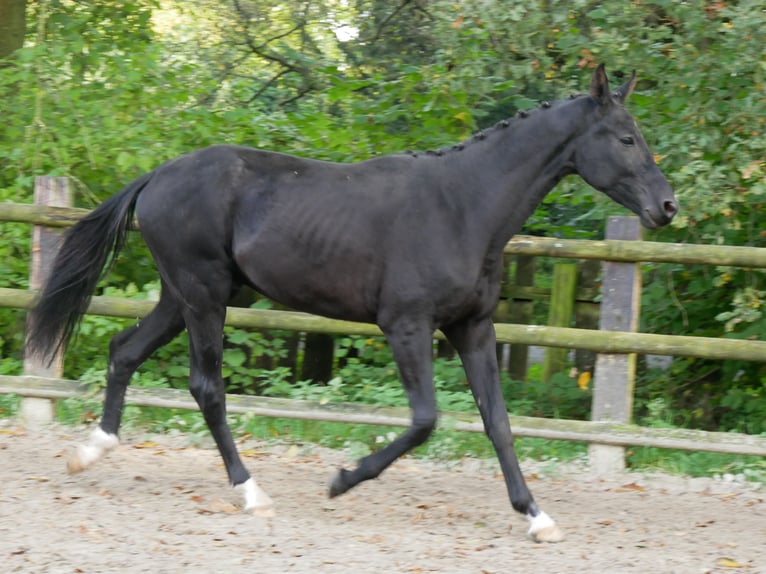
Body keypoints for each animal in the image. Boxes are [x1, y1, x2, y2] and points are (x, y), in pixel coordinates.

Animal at [27, 65, 680, 544]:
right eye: (627, 138)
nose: (667, 207)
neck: (463, 206)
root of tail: (158, 176)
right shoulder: (407, 326)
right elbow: (424, 421)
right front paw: (341, 481)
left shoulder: (473, 327)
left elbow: (498, 423)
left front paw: (537, 517)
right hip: (203, 296)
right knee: (205, 386)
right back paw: (250, 492)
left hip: (184, 296)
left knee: (123, 350)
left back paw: (90, 453)